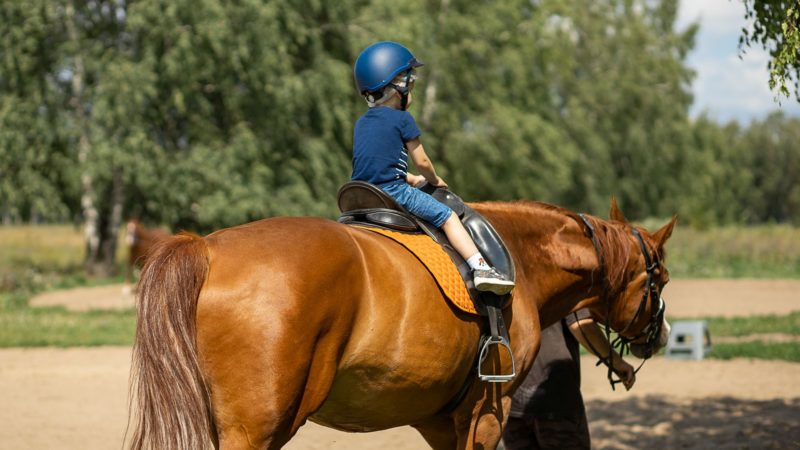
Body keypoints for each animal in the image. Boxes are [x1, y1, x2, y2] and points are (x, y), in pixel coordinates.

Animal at [125, 200, 676, 450]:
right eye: (661, 280)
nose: (662, 337)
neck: (519, 258)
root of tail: (207, 248)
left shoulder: (441, 421)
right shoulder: (487, 415)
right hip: (254, 431)